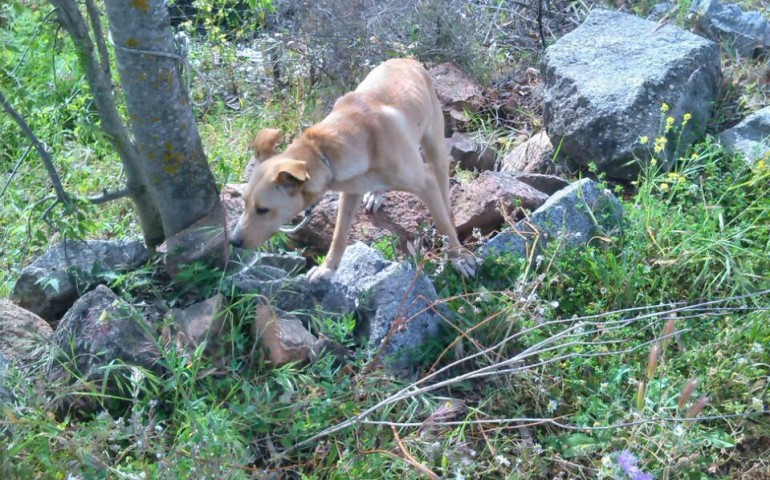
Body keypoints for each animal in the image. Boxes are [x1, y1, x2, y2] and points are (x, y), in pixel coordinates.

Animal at [230, 58, 474, 282]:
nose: (233, 241)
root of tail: (407, 59)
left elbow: (442, 223)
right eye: (244, 202)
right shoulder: (350, 191)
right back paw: (376, 194)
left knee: (444, 196)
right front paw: (327, 268)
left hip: (435, 149)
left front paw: (460, 258)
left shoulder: (425, 182)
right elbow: (339, 235)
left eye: (263, 210)